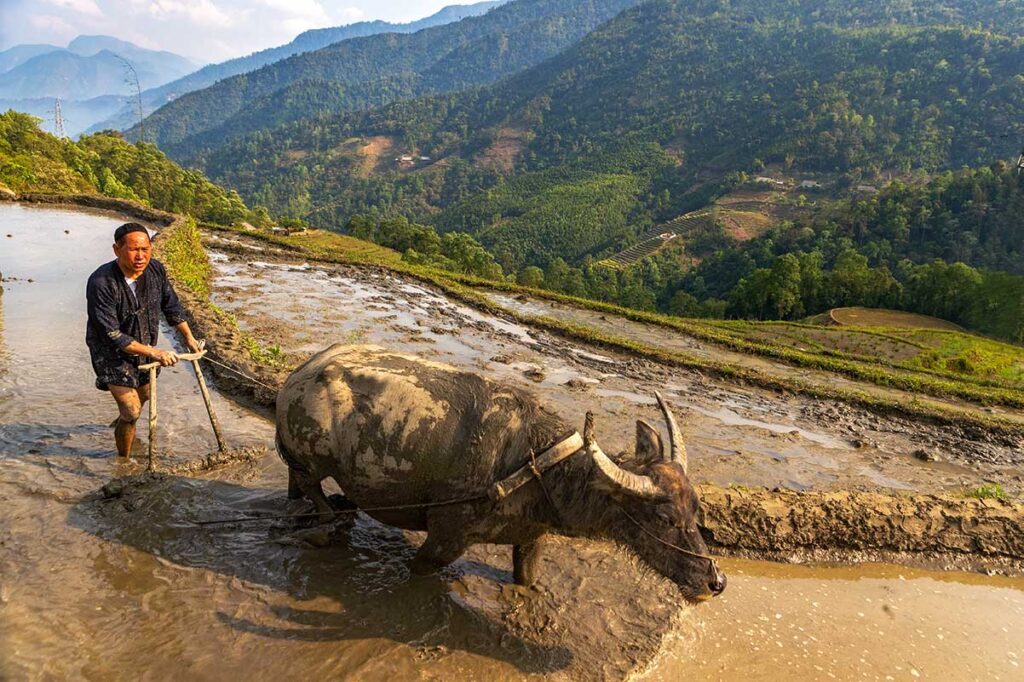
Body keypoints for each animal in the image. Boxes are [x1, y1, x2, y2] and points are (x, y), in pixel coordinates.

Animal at [276, 342, 724, 598]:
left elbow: (526, 579)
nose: (714, 583)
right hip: (310, 456)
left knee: (299, 488)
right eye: (664, 518)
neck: (532, 466)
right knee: (311, 486)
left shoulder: (531, 537)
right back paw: (324, 524)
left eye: (695, 511)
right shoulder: (446, 538)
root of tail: (301, 373)